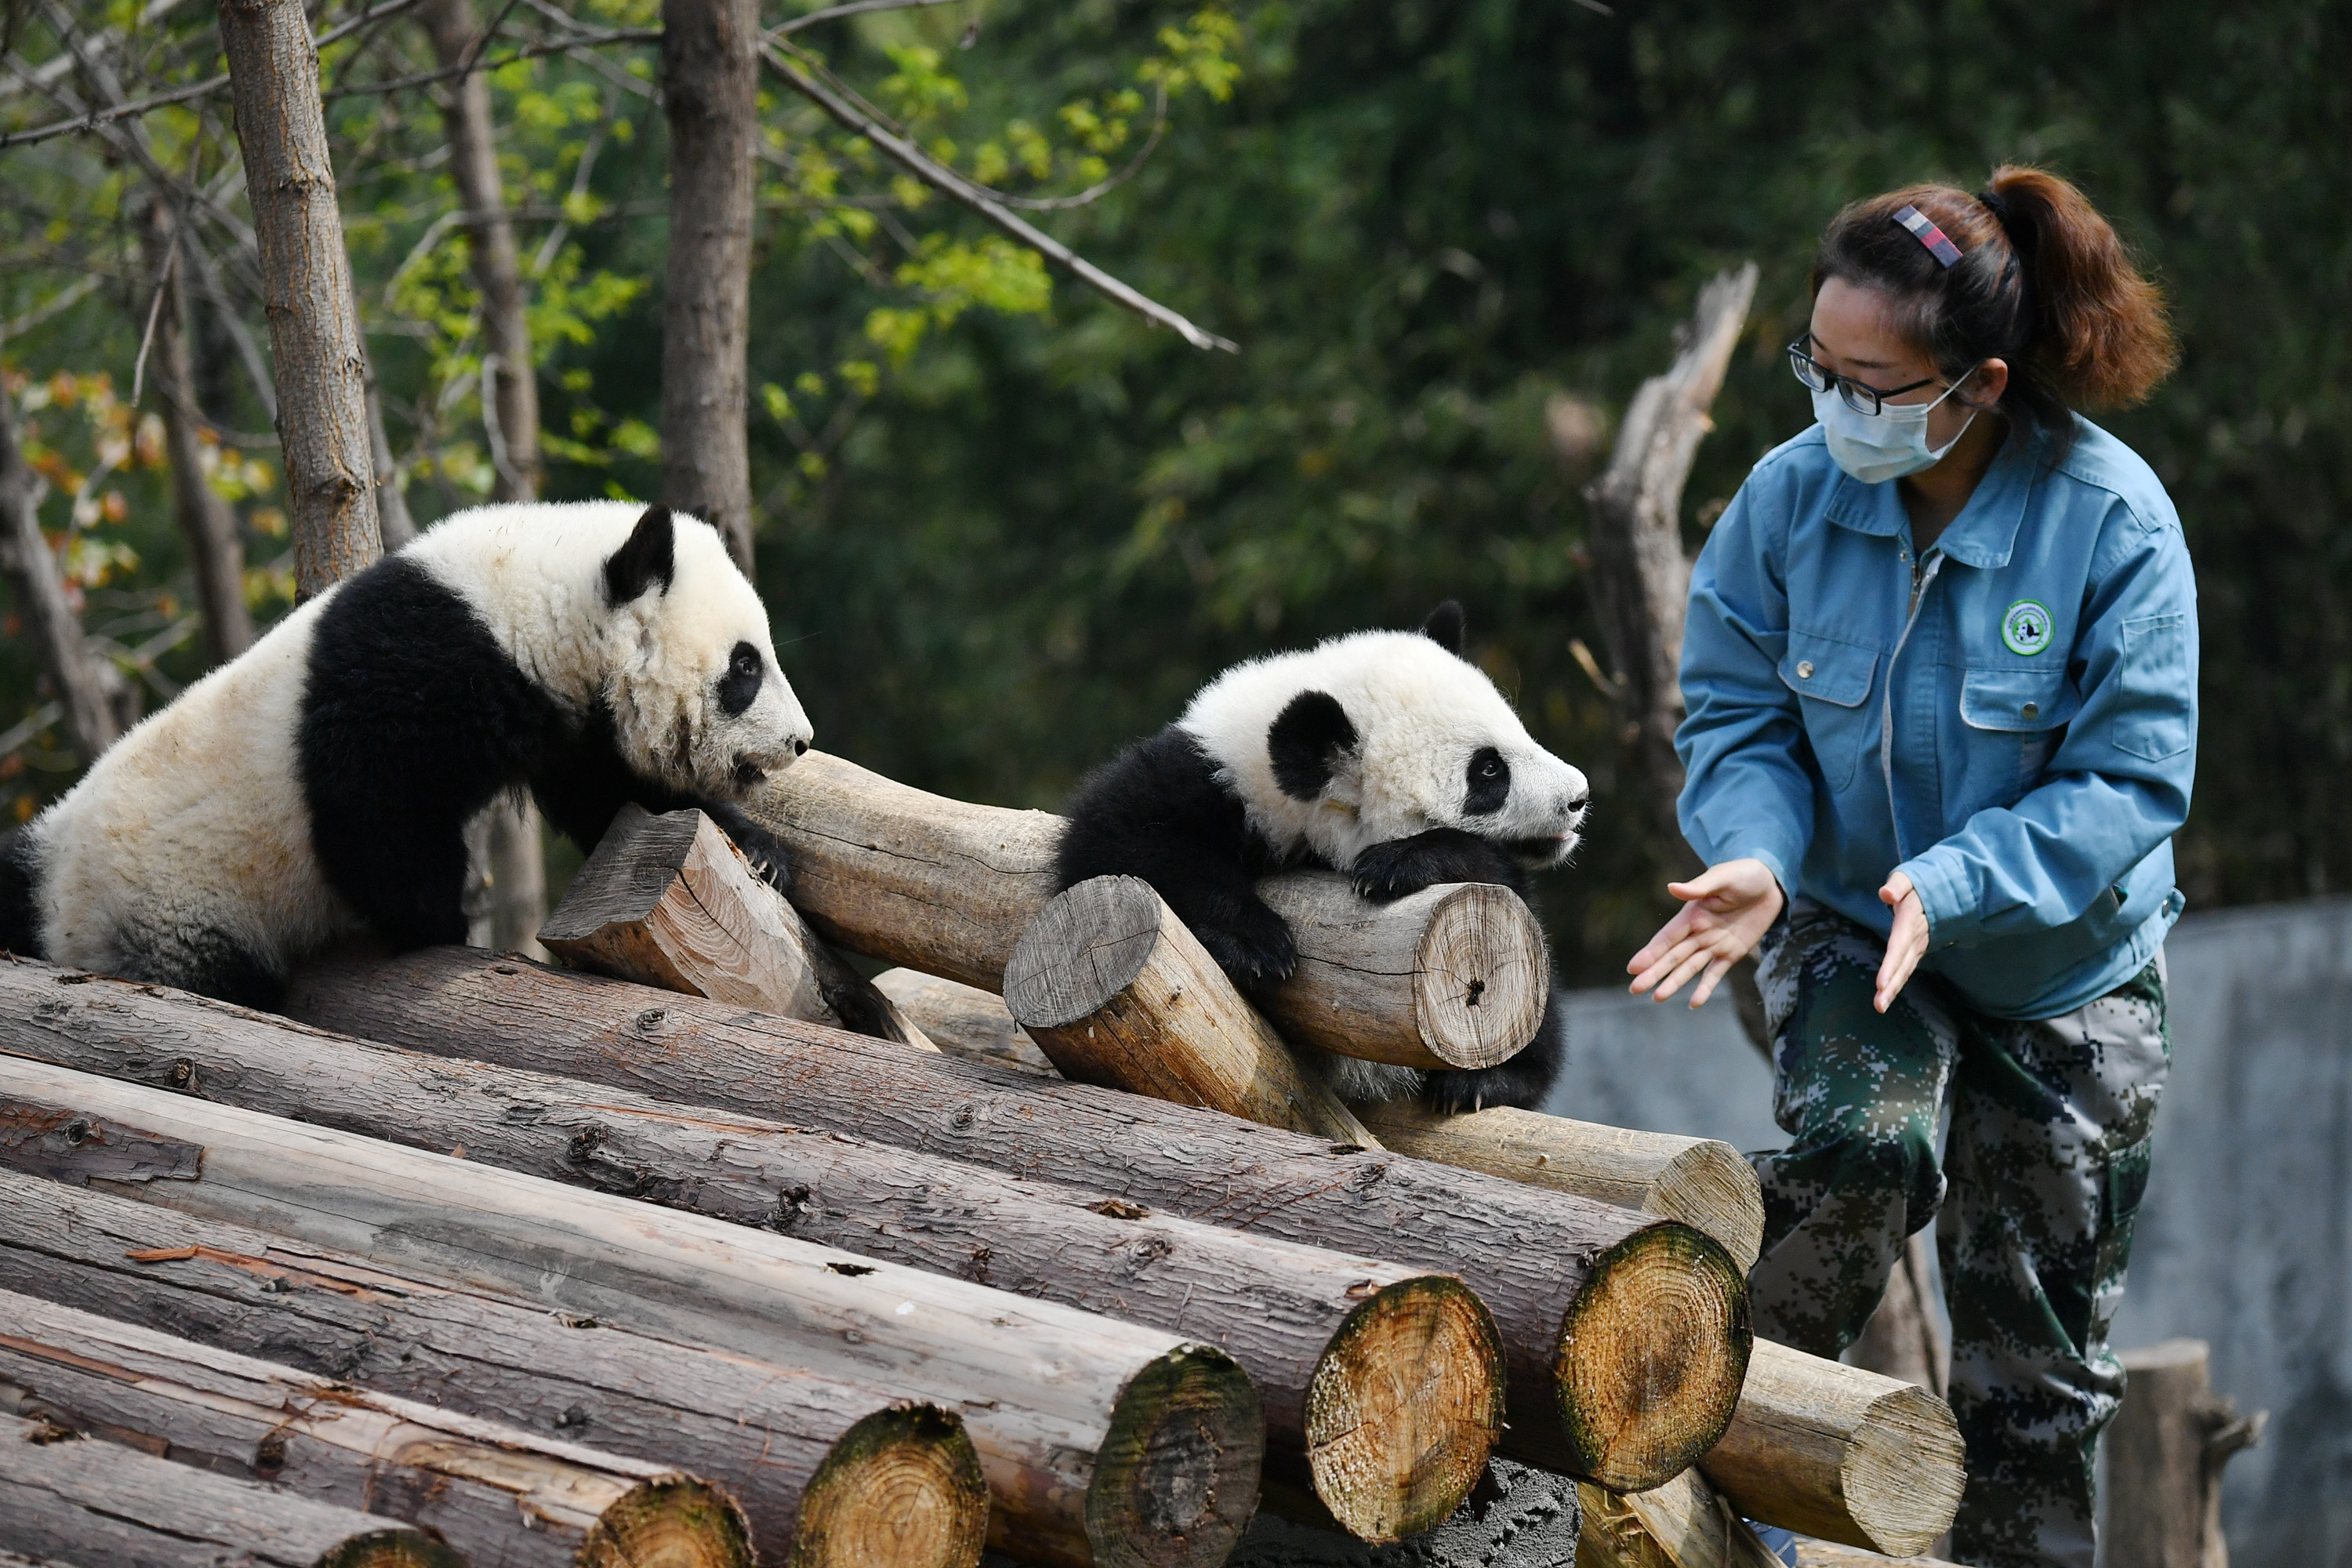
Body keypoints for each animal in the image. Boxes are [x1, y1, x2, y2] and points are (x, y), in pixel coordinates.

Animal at [0, 505, 818, 1020]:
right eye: (746, 667)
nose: (801, 741)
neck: (524, 605)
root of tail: (51, 880)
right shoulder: (414, 667)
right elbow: (373, 811)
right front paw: (439, 922)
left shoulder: (563, 717)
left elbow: (614, 799)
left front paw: (761, 853)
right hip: (172, 905)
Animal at [1058, 606, 1590, 1114]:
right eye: (1489, 770)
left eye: (1518, 730)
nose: (1578, 797)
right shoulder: (1193, 778)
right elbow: (1113, 850)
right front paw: (1255, 945)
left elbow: (1495, 876)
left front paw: (1395, 865)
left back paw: (1484, 1081)